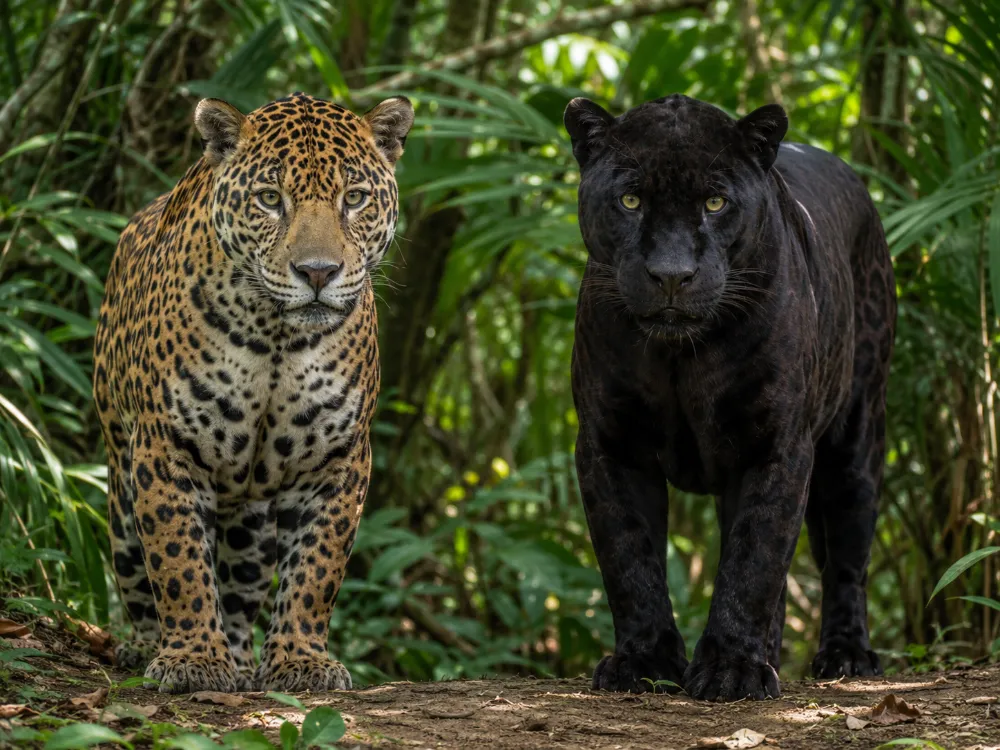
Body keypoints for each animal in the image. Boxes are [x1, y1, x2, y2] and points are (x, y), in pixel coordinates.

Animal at [93, 91, 413, 694]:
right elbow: (177, 560)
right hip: (121, 485)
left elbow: (317, 571)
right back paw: (145, 645)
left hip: (253, 520)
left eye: (354, 198)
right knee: (136, 569)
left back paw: (241, 660)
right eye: (270, 199)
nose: (318, 272)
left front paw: (301, 662)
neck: (276, 336)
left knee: (241, 587)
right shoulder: (165, 447)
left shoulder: (339, 460)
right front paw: (193, 658)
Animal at [564, 94, 896, 701]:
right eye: (630, 199)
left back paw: (846, 656)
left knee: (846, 559)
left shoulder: (776, 445)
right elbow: (630, 557)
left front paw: (730, 670)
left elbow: (754, 558)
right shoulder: (609, 443)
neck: (680, 357)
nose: (672, 275)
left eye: (715, 202)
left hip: (856, 440)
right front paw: (644, 662)